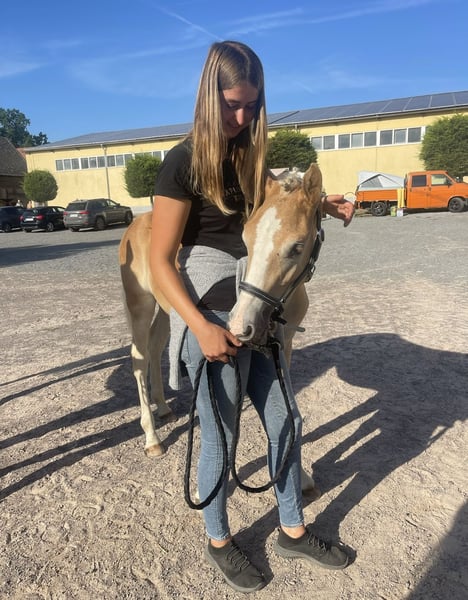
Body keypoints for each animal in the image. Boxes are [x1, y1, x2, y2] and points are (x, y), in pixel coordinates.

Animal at [119, 162, 323, 496]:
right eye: (247, 239)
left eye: (297, 247)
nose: (241, 325)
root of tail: (139, 222)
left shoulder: (286, 344)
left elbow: (287, 409)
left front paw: (301, 476)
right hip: (141, 306)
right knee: (139, 357)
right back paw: (152, 438)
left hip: (167, 311)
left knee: (156, 349)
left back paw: (162, 407)